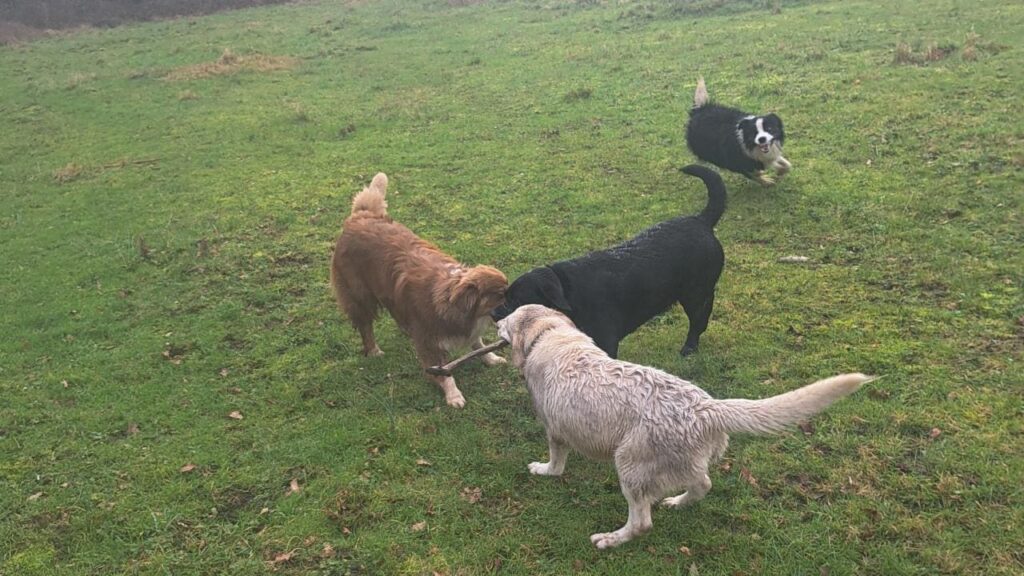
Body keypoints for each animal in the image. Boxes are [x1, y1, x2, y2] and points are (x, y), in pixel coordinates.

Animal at [331, 172, 507, 405]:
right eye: (501, 295)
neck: (448, 300)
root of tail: (361, 215)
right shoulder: (429, 343)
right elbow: (444, 372)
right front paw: (453, 395)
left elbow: (478, 344)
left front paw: (491, 358)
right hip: (360, 296)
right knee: (365, 326)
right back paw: (374, 350)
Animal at [489, 163, 724, 356]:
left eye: (517, 301)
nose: (493, 313)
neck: (568, 290)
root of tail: (701, 220)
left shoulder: (606, 341)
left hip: (695, 294)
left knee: (698, 320)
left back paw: (690, 346)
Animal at [493, 301, 864, 545]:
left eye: (506, 321)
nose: (495, 323)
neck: (550, 334)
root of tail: (707, 407)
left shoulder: (554, 430)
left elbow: (556, 462)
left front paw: (544, 470)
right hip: (676, 463)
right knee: (702, 485)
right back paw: (676, 502)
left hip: (628, 462)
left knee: (642, 522)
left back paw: (612, 539)